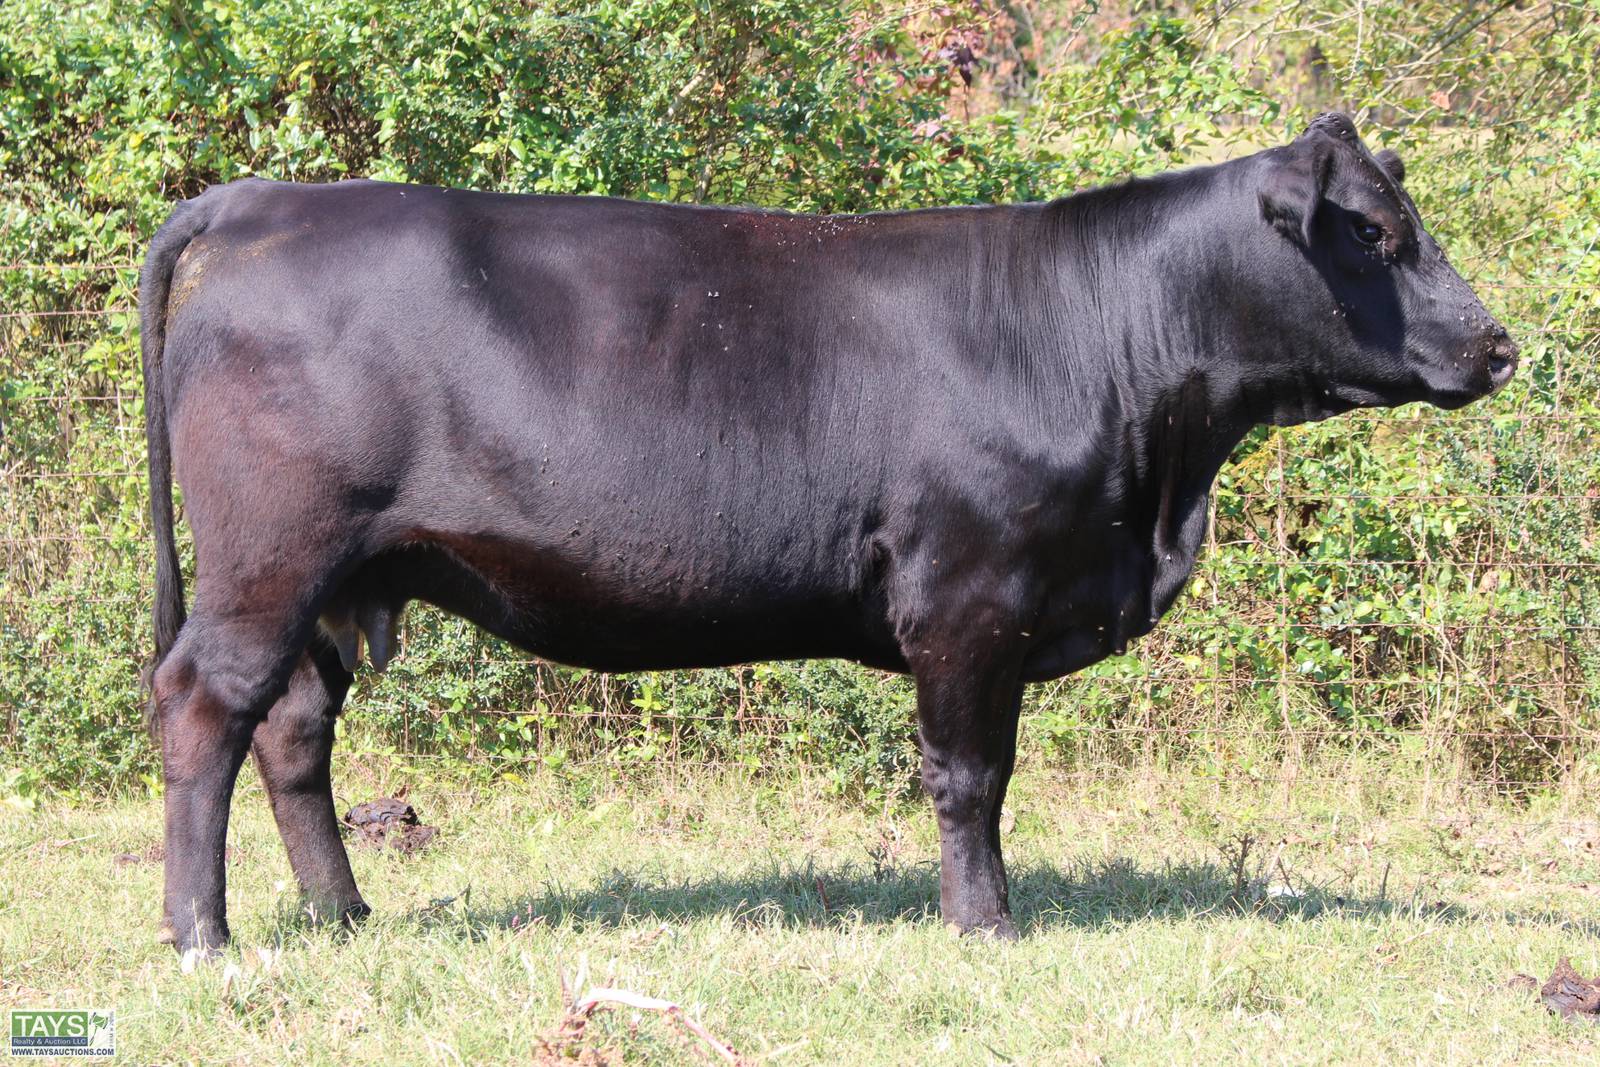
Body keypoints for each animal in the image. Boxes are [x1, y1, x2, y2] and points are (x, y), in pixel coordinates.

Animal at [139, 113, 1517, 957]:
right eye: (1376, 233)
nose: (1499, 344)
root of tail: (263, 201)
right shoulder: (968, 594)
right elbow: (970, 774)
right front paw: (984, 924)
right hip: (271, 558)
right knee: (207, 705)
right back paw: (205, 934)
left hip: (340, 575)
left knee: (295, 729)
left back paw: (344, 913)